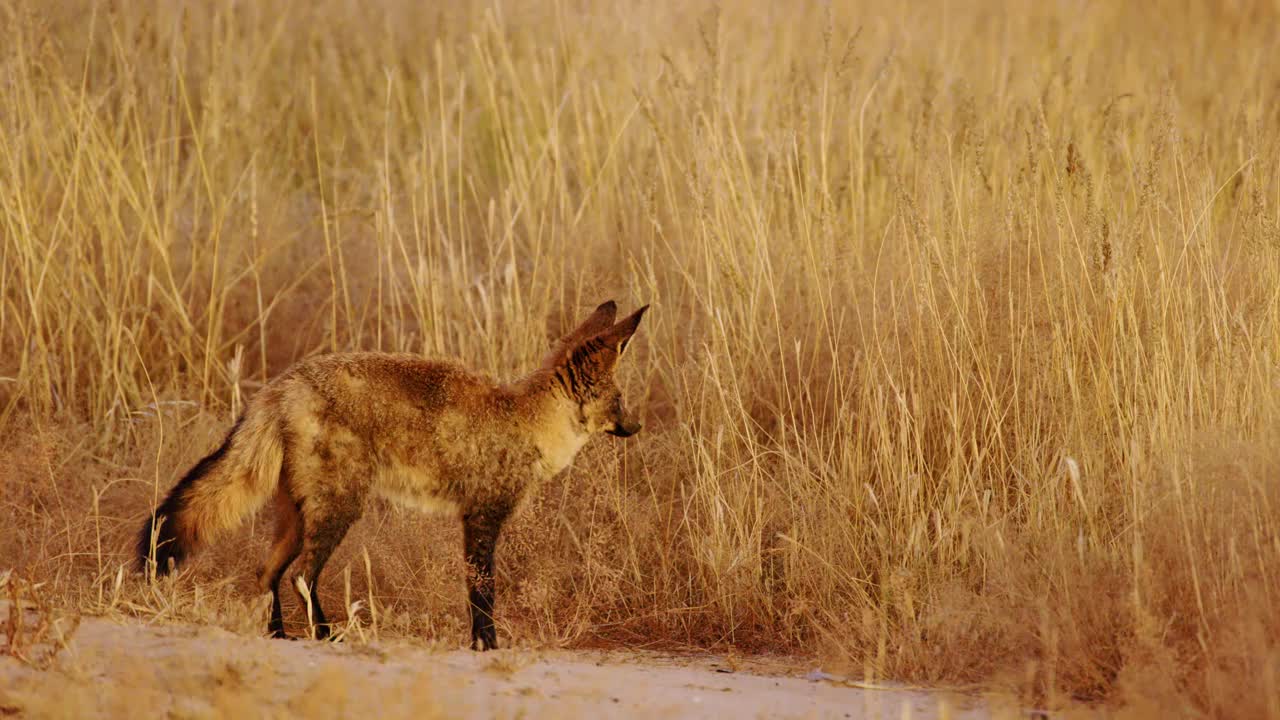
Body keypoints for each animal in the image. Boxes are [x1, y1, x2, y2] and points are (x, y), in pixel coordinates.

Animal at [137, 299, 650, 648]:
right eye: (620, 399)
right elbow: (483, 595)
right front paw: (487, 646)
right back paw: (327, 634)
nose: (638, 427)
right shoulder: (483, 518)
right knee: (302, 575)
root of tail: (282, 385)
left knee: (266, 574)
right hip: (339, 510)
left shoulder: (471, 521)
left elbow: (475, 594)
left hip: (297, 518)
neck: (525, 420)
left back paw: (280, 636)